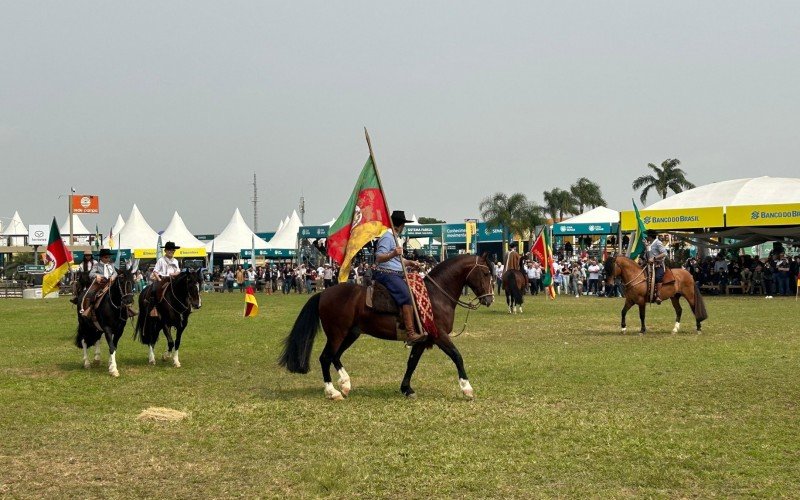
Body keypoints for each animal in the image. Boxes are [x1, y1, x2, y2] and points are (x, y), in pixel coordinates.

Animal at [280, 254, 494, 398]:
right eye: (485, 272)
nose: (489, 299)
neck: (436, 295)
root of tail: (324, 293)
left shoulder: (421, 340)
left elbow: (412, 363)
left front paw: (406, 389)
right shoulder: (439, 335)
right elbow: (457, 356)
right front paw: (467, 388)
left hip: (351, 334)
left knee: (335, 356)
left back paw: (346, 384)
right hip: (337, 334)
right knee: (326, 358)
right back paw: (333, 392)